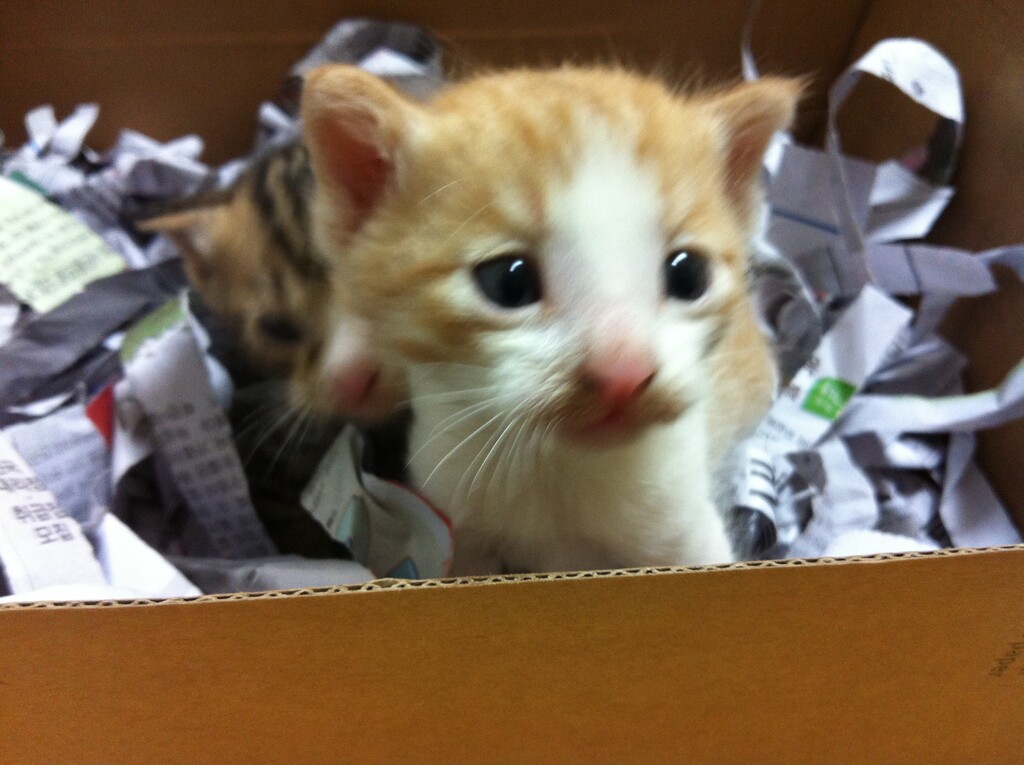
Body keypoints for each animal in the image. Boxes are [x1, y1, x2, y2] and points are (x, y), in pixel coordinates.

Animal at [298, 65, 800, 574]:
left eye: (688, 275)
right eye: (509, 283)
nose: (624, 371)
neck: (560, 473)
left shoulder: (686, 530)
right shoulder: (460, 526)